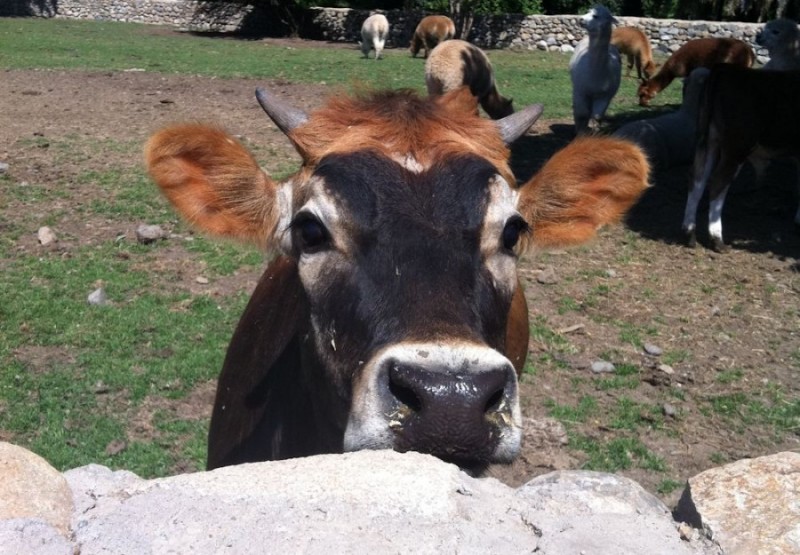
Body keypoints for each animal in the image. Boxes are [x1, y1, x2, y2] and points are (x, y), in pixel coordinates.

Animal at [683, 65, 800, 251]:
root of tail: (725, 69)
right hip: (737, 148)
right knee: (718, 182)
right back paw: (717, 239)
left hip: (708, 141)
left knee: (697, 179)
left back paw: (689, 233)